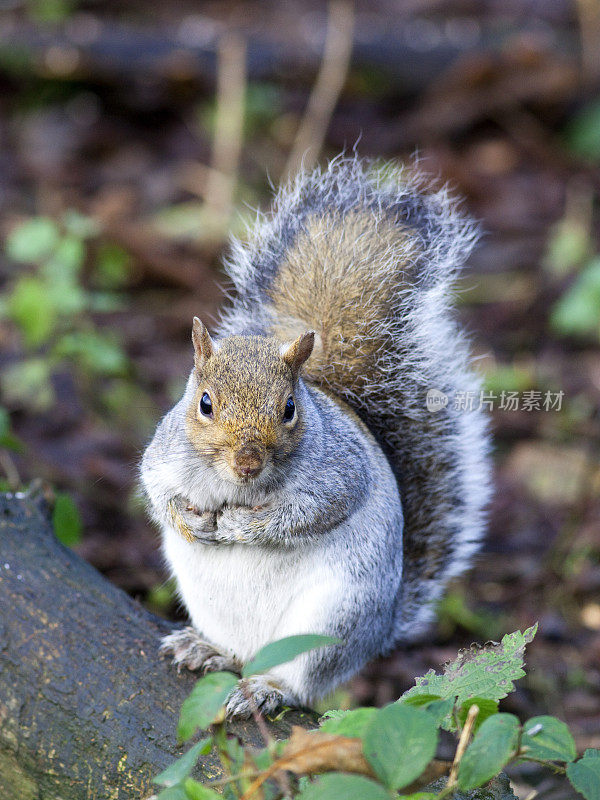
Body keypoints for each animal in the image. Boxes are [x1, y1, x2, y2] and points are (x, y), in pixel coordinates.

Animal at [142, 156, 492, 720]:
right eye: (204, 403)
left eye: (289, 409)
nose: (246, 463)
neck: (237, 486)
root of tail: (379, 633)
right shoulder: (164, 456)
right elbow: (156, 491)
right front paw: (189, 519)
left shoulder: (340, 471)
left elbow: (314, 510)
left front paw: (242, 526)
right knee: (236, 652)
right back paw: (208, 648)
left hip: (329, 624)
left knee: (301, 681)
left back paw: (268, 688)